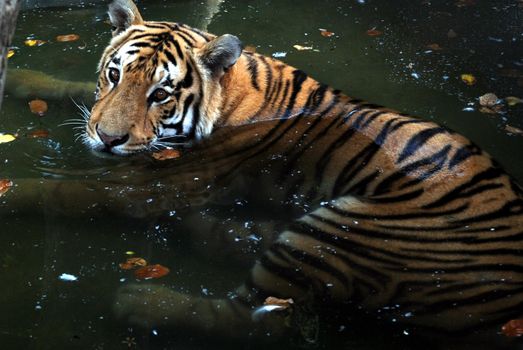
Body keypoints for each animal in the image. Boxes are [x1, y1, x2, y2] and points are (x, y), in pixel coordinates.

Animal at [77, 0, 523, 346]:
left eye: (161, 95)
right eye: (114, 75)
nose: (107, 138)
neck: (232, 93)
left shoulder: (169, 178)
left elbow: (78, 192)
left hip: (337, 231)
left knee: (256, 320)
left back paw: (140, 301)